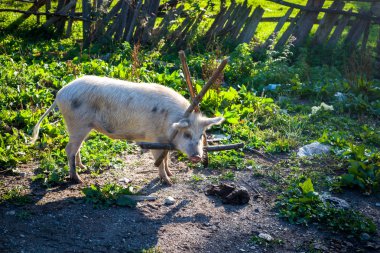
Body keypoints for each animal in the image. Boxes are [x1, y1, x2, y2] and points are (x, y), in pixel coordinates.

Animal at [31, 75, 226, 184]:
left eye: (201, 135)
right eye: (186, 134)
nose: (197, 157)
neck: (169, 122)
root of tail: (60, 94)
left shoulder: (165, 141)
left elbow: (166, 158)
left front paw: (171, 173)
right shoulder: (153, 139)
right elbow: (159, 160)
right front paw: (168, 181)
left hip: (83, 127)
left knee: (75, 148)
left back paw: (83, 167)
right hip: (77, 123)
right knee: (69, 149)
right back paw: (77, 179)